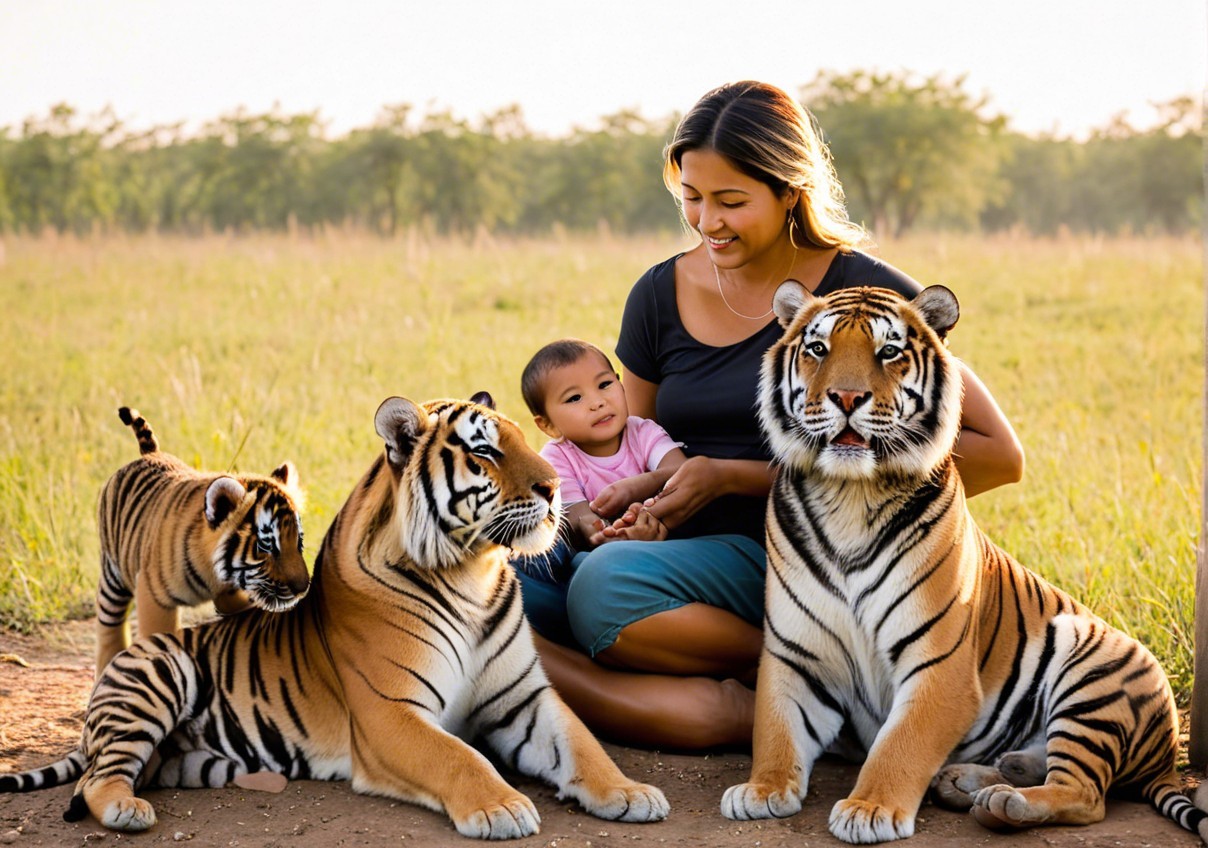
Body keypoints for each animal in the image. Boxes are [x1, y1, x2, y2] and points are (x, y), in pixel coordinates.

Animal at [93, 407, 310, 673]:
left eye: (298, 542)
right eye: (266, 546)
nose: (303, 588)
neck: (214, 573)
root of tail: (150, 453)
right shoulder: (154, 597)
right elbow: (157, 636)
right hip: (114, 575)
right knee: (109, 622)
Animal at [719, 282, 1207, 844]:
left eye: (888, 351)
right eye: (818, 349)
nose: (846, 398)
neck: (850, 496)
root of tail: (1168, 758)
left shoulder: (940, 665)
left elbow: (900, 745)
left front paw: (869, 809)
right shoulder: (794, 654)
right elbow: (775, 729)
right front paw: (762, 790)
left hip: (1091, 674)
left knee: (1085, 794)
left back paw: (1003, 801)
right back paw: (973, 779)